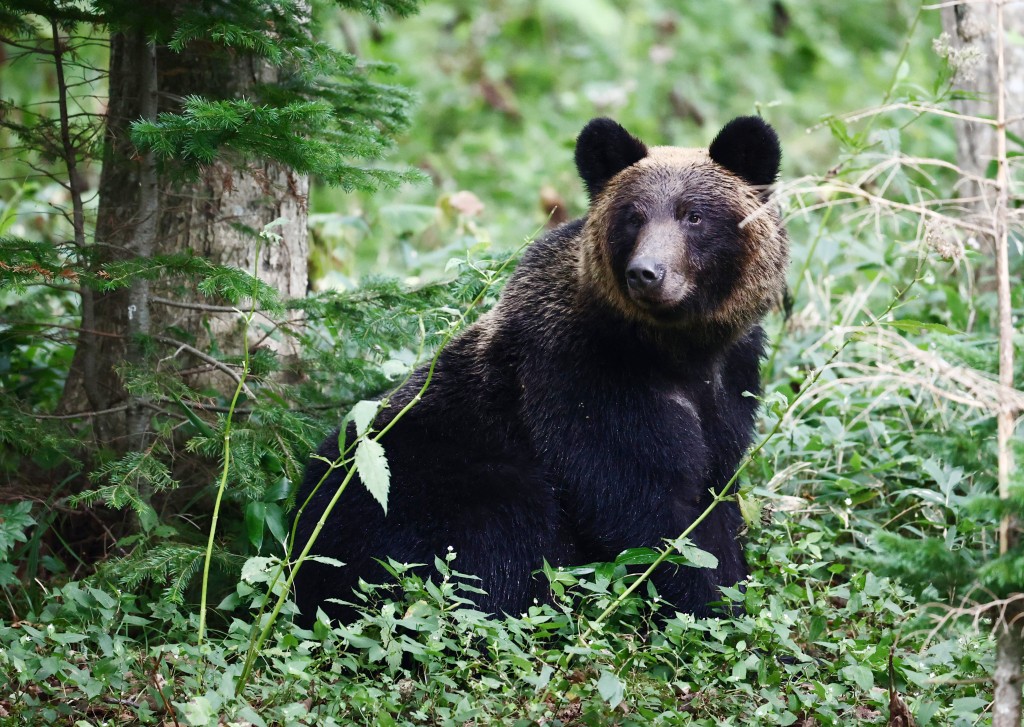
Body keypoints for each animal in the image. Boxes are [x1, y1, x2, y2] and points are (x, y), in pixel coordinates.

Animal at [291, 115, 789, 626]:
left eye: (694, 215)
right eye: (633, 215)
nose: (647, 273)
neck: (676, 349)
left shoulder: (731, 383)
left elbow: (715, 495)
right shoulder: (586, 380)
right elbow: (640, 505)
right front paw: (708, 604)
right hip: (421, 485)